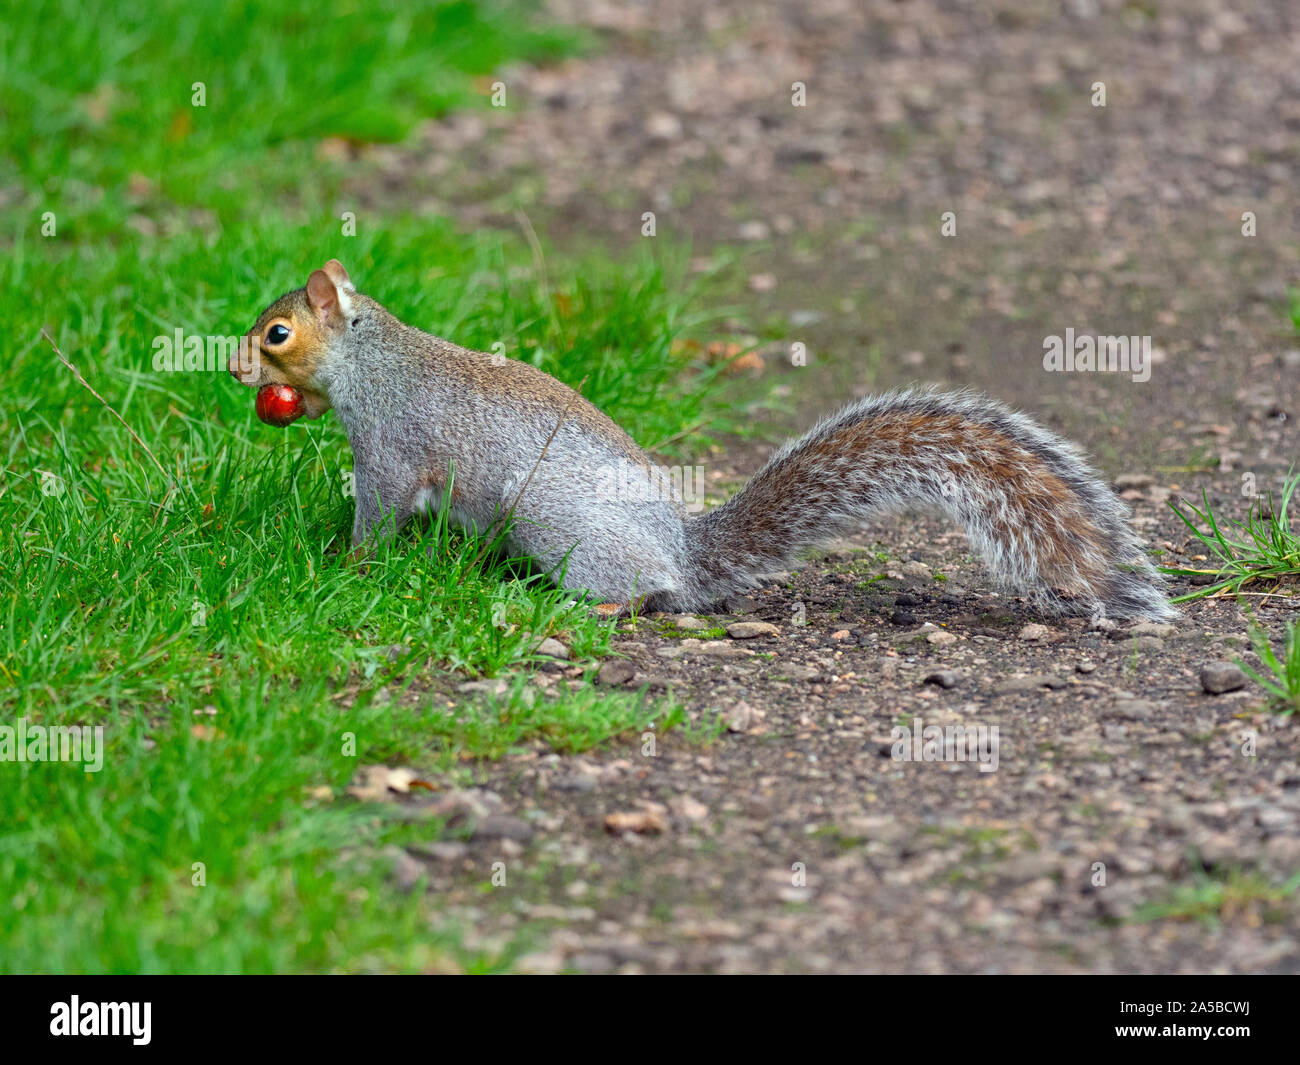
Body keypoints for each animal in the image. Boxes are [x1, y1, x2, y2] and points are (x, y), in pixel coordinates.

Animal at [231, 260, 1174, 621]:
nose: (237, 368)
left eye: (278, 333)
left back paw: (596, 604)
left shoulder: (392, 443)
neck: (372, 359)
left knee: (649, 593)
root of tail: (684, 551)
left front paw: (349, 563)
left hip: (564, 530)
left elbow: (382, 510)